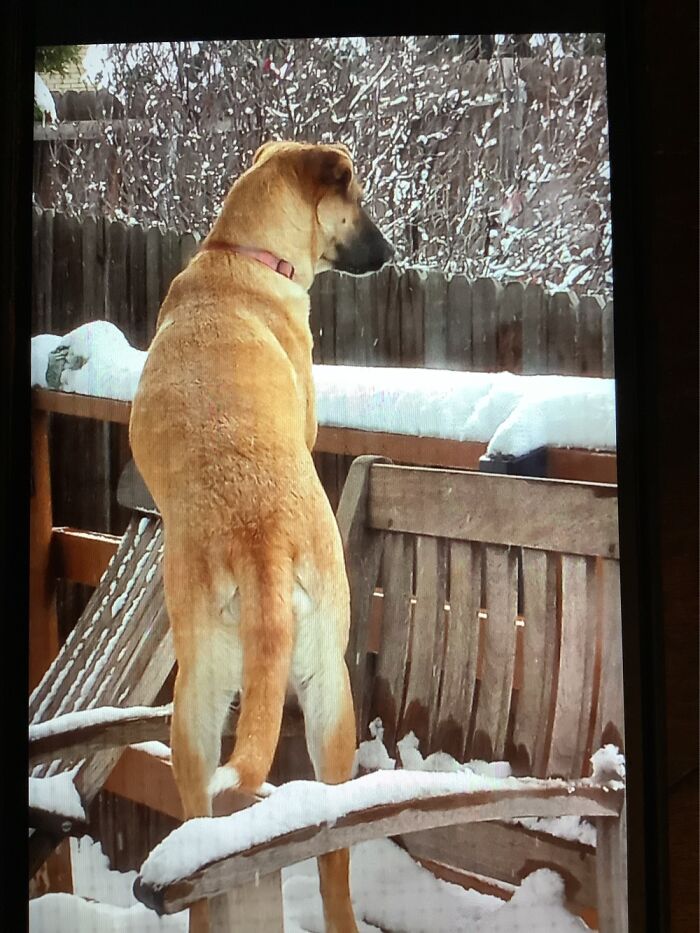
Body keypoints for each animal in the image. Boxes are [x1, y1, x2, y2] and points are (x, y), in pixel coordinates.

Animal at [130, 140, 394, 932]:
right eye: (356, 199)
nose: (392, 252)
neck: (238, 257)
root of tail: (262, 534)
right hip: (303, 693)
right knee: (328, 848)